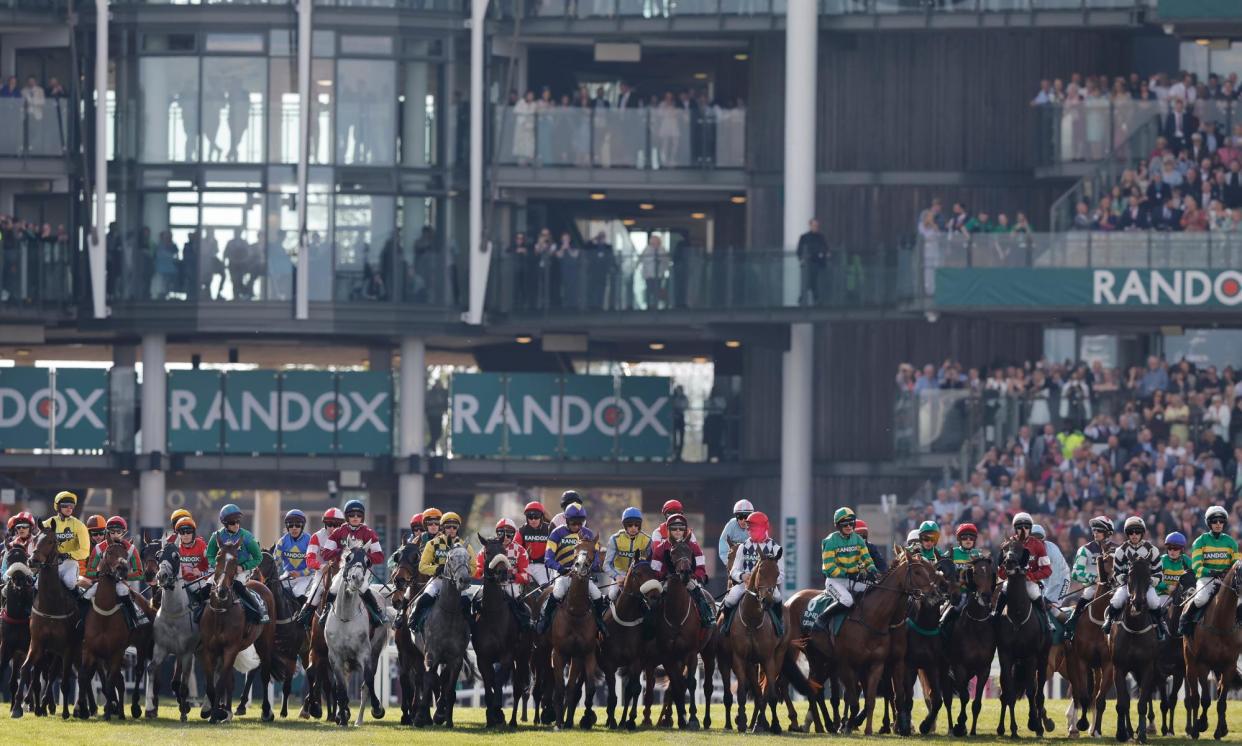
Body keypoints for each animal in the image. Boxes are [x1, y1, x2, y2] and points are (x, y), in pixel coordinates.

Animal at [147, 541, 203, 719]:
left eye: (176, 557)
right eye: (158, 556)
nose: (161, 576)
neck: (174, 613)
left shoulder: (187, 653)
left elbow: (184, 683)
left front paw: (184, 712)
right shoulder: (161, 648)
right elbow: (151, 669)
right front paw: (149, 707)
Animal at [198, 541, 274, 719]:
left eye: (235, 561)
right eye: (218, 557)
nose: (221, 590)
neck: (220, 612)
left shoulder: (230, 648)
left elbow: (220, 683)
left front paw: (217, 714)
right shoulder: (209, 649)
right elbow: (211, 683)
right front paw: (213, 710)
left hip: (264, 642)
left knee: (265, 674)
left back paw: (266, 711)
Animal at [320, 543, 387, 724]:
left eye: (367, 561)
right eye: (348, 558)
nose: (357, 578)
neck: (346, 617)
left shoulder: (365, 653)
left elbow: (368, 681)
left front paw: (377, 708)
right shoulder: (335, 657)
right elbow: (341, 688)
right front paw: (342, 716)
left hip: (375, 651)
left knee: (365, 687)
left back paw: (359, 720)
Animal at [417, 541, 474, 724]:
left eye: (468, 558)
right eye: (450, 558)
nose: (464, 580)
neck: (449, 614)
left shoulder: (455, 659)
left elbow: (448, 689)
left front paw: (446, 719)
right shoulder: (431, 655)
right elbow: (429, 681)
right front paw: (420, 717)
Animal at [1182, 558, 1242, 739]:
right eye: (1240, 571)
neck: (1220, 623)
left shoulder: (1229, 666)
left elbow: (1221, 701)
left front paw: (1219, 731)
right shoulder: (1203, 664)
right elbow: (1205, 699)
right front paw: (1201, 725)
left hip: (1218, 668)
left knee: (1218, 689)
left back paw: (1222, 727)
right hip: (1190, 664)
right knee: (1194, 696)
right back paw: (1193, 729)